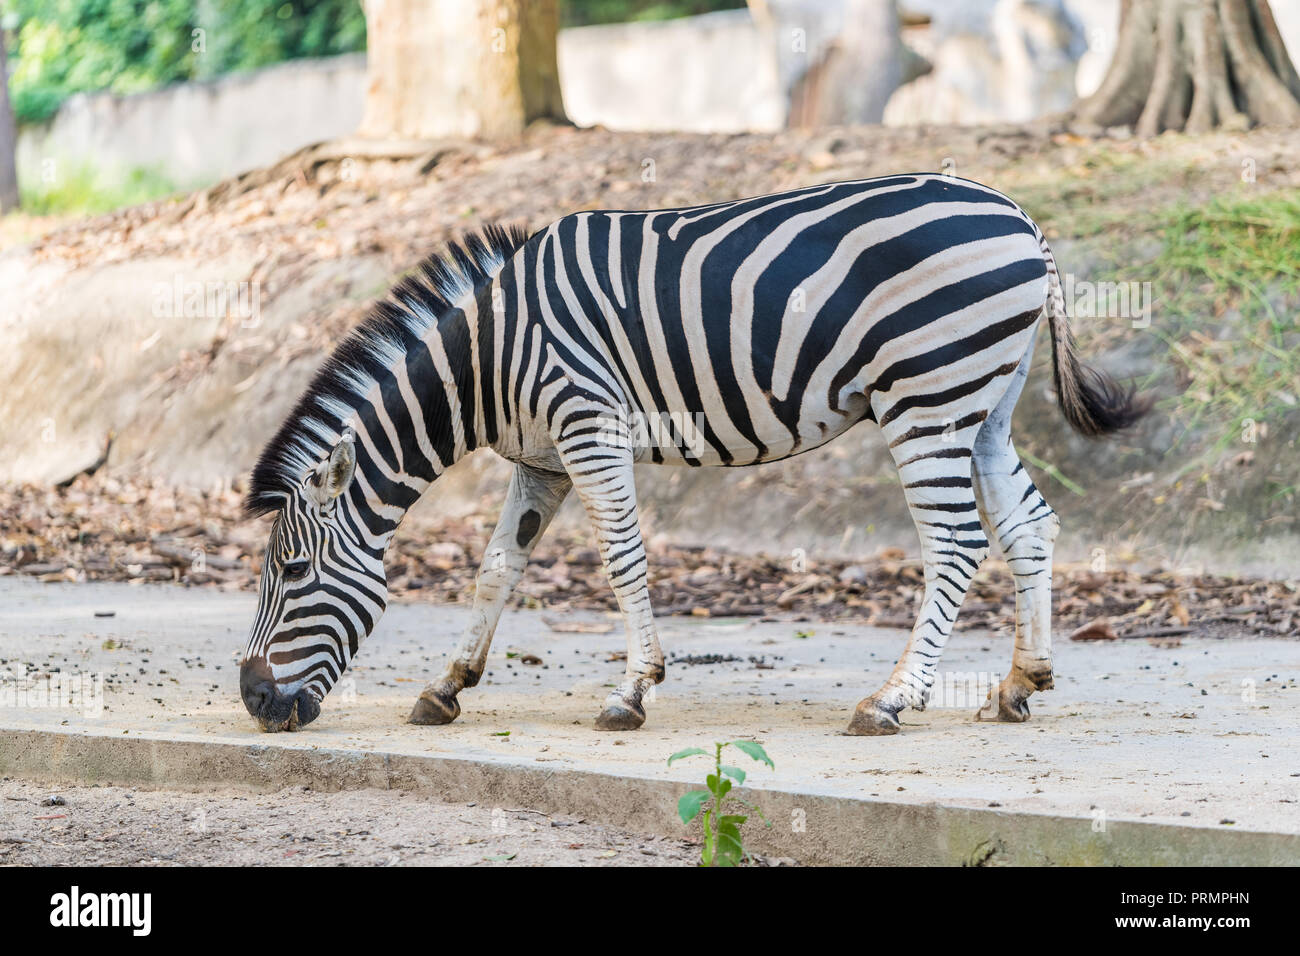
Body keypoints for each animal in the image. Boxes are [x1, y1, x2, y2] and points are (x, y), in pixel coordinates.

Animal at [239, 173, 1147, 736]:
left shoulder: (588, 427)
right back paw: (1020, 684)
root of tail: (1020, 216)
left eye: (292, 573)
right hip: (982, 404)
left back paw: (891, 702)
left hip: (927, 396)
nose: (251, 700)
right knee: (1029, 525)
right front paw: (447, 686)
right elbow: (498, 568)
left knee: (956, 542)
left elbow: (623, 560)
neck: (490, 357)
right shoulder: (541, 460)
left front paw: (631, 692)